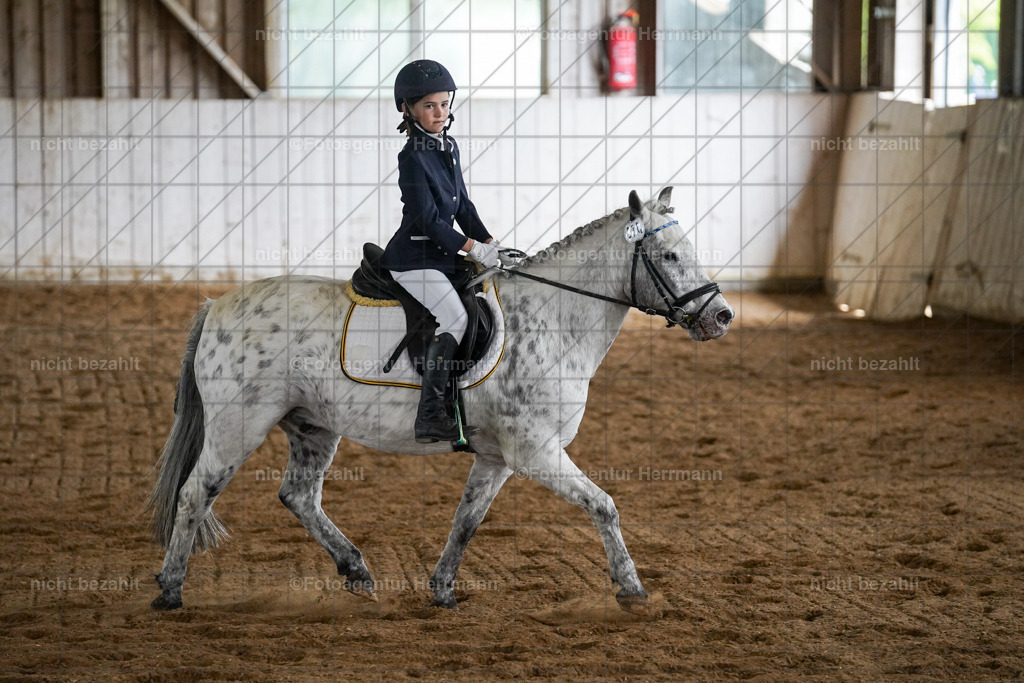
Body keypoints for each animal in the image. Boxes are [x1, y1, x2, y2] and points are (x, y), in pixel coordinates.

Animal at [147, 186, 735, 611]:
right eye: (668, 255)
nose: (722, 316)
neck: (556, 318)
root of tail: (217, 305)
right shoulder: (535, 451)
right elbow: (604, 505)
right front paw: (632, 590)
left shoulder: (498, 457)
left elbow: (466, 520)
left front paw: (443, 589)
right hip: (238, 427)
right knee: (196, 493)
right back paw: (170, 590)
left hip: (312, 425)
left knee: (298, 496)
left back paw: (357, 572)